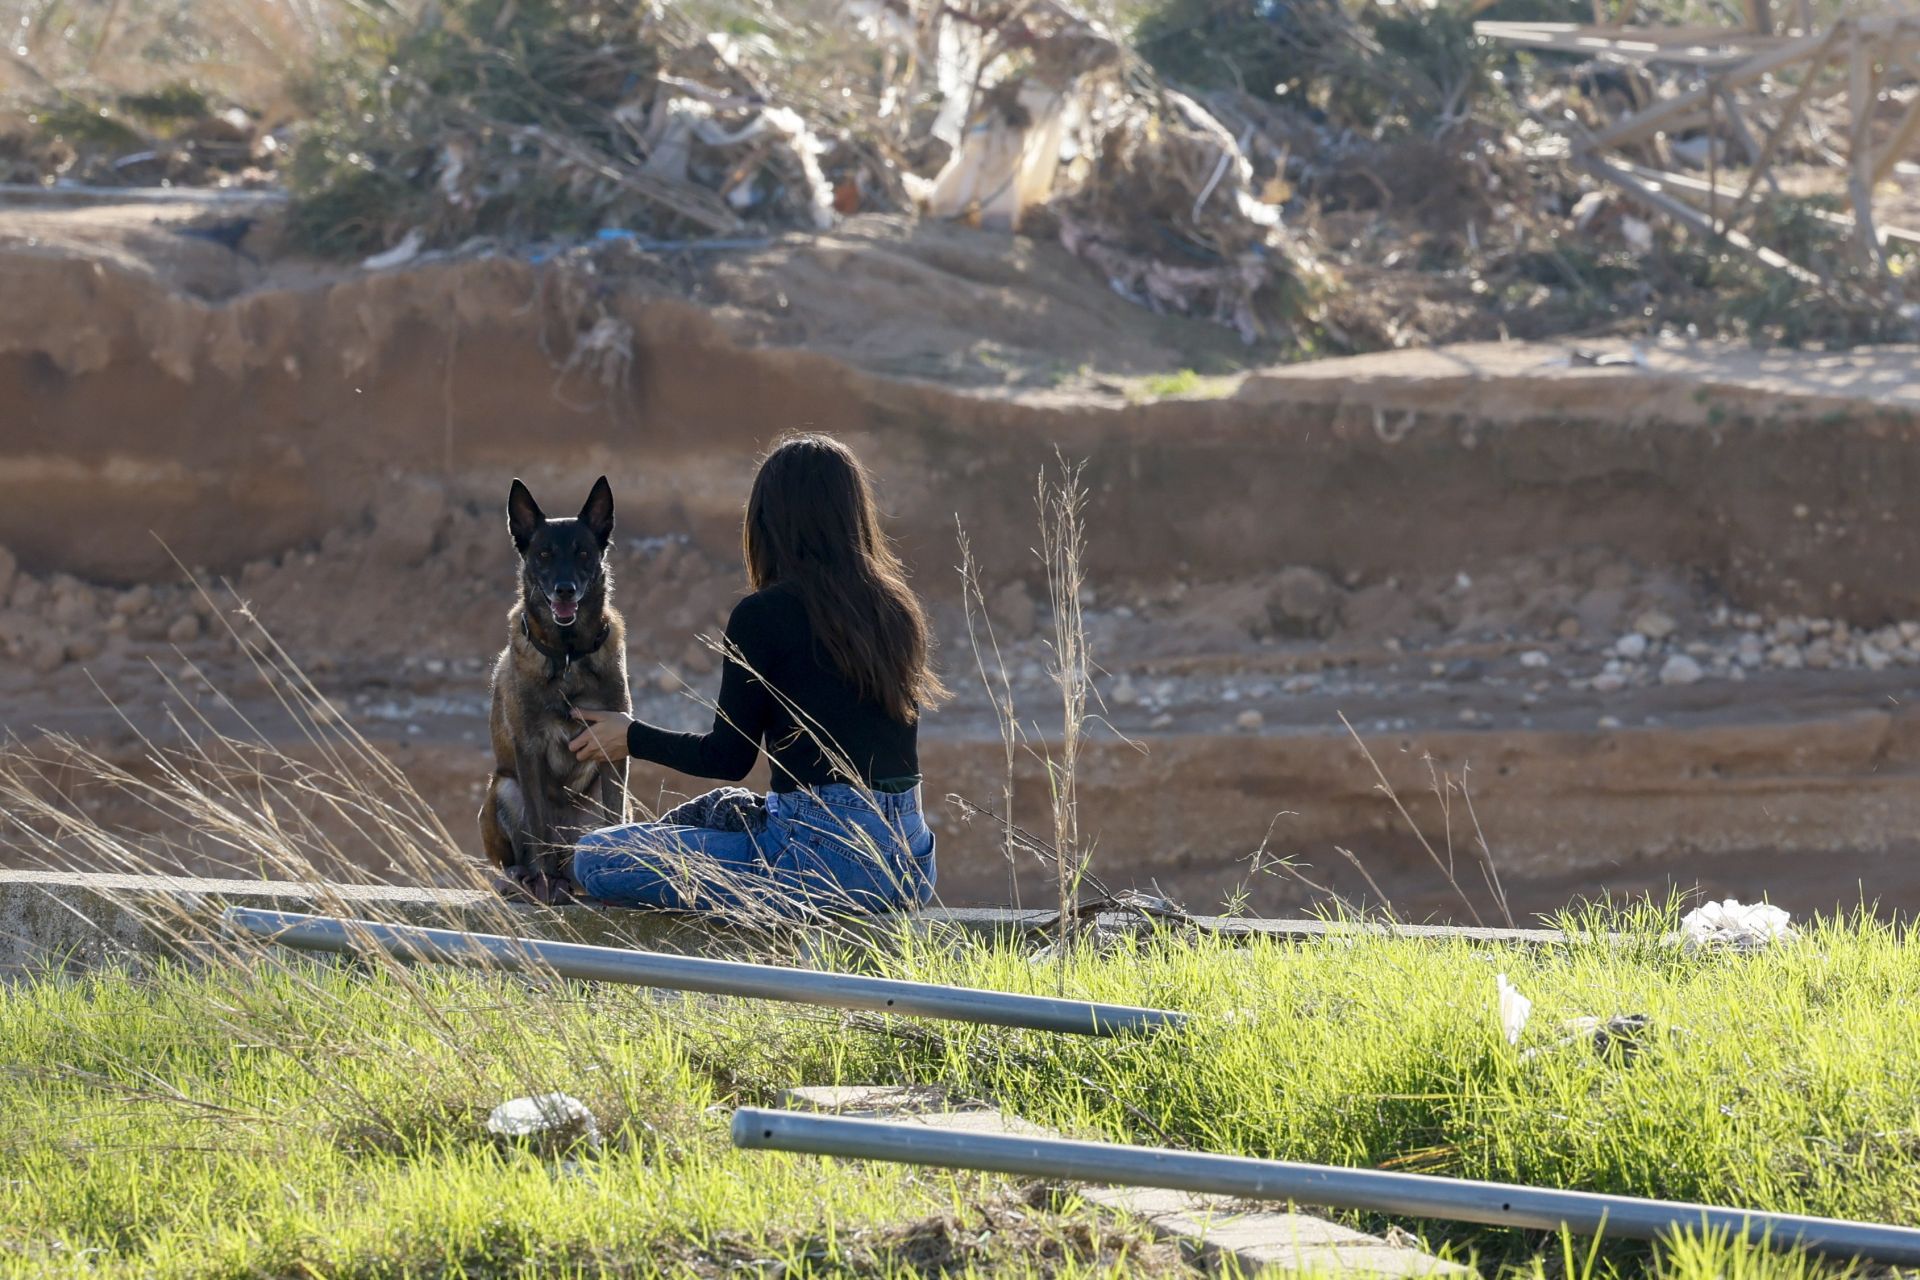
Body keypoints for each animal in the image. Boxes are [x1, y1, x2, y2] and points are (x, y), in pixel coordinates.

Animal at [483, 475, 633, 905]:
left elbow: (614, 819)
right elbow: (537, 826)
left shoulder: (613, 749)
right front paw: (544, 882)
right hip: (503, 788)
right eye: (545, 554)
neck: (567, 655)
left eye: (583, 553)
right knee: (520, 854)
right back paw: (525, 878)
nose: (565, 590)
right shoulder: (529, 750)